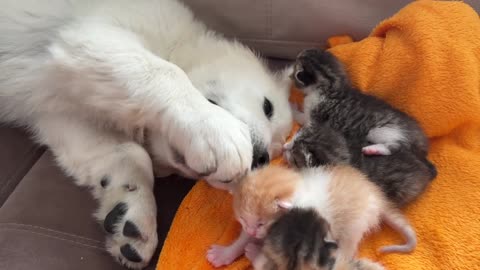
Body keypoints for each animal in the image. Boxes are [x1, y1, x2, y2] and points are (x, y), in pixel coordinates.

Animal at [0, 0, 292, 268]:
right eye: (268, 107)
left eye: (274, 151)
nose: (261, 157)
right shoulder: (91, 35)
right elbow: (165, 71)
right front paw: (216, 129)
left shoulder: (61, 115)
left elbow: (127, 152)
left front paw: (130, 211)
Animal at [284, 49, 436, 207]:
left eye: (297, 71)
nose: (291, 72)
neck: (331, 87)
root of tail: (421, 146)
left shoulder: (313, 116)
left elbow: (301, 117)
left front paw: (291, 107)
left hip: (380, 132)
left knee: (396, 146)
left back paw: (375, 149)